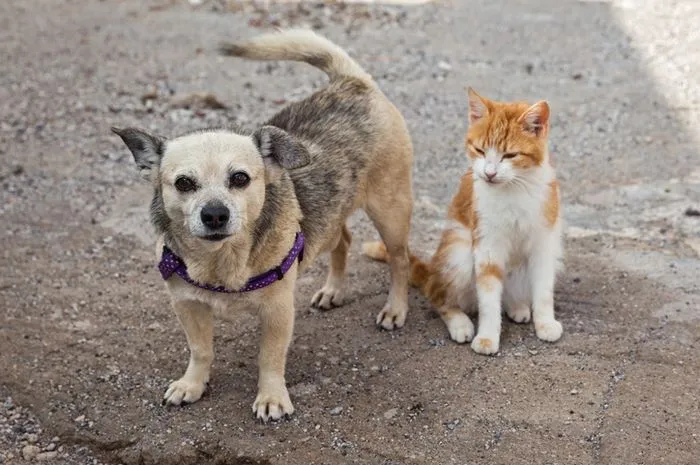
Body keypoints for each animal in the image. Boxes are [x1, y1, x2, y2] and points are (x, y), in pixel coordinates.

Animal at [112, 28, 412, 420]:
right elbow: (201, 350)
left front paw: (271, 398)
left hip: (390, 212)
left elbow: (270, 359)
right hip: (333, 219)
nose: (214, 214)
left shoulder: (277, 311)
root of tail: (351, 82)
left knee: (400, 260)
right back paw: (333, 289)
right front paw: (192, 384)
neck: (221, 261)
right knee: (343, 239)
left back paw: (395, 308)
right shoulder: (187, 306)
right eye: (184, 183)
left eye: (240, 178)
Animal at [360, 87, 564, 354]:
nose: (489, 173)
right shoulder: (487, 245)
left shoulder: (544, 244)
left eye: (510, 155)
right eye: (480, 150)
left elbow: (543, 291)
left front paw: (546, 323)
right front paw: (487, 336)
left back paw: (516, 306)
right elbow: (488, 298)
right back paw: (460, 322)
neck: (515, 189)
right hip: (459, 249)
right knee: (438, 294)